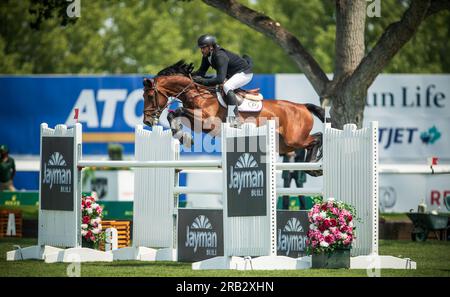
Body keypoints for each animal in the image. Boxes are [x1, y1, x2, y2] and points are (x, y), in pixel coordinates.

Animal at [143, 61, 324, 175]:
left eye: (150, 95)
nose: (147, 121)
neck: (197, 94)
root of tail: (302, 106)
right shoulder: (198, 123)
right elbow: (173, 113)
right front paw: (183, 137)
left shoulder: (208, 122)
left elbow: (179, 110)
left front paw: (185, 137)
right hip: (284, 144)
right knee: (313, 139)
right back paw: (312, 166)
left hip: (294, 138)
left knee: (317, 138)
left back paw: (313, 165)